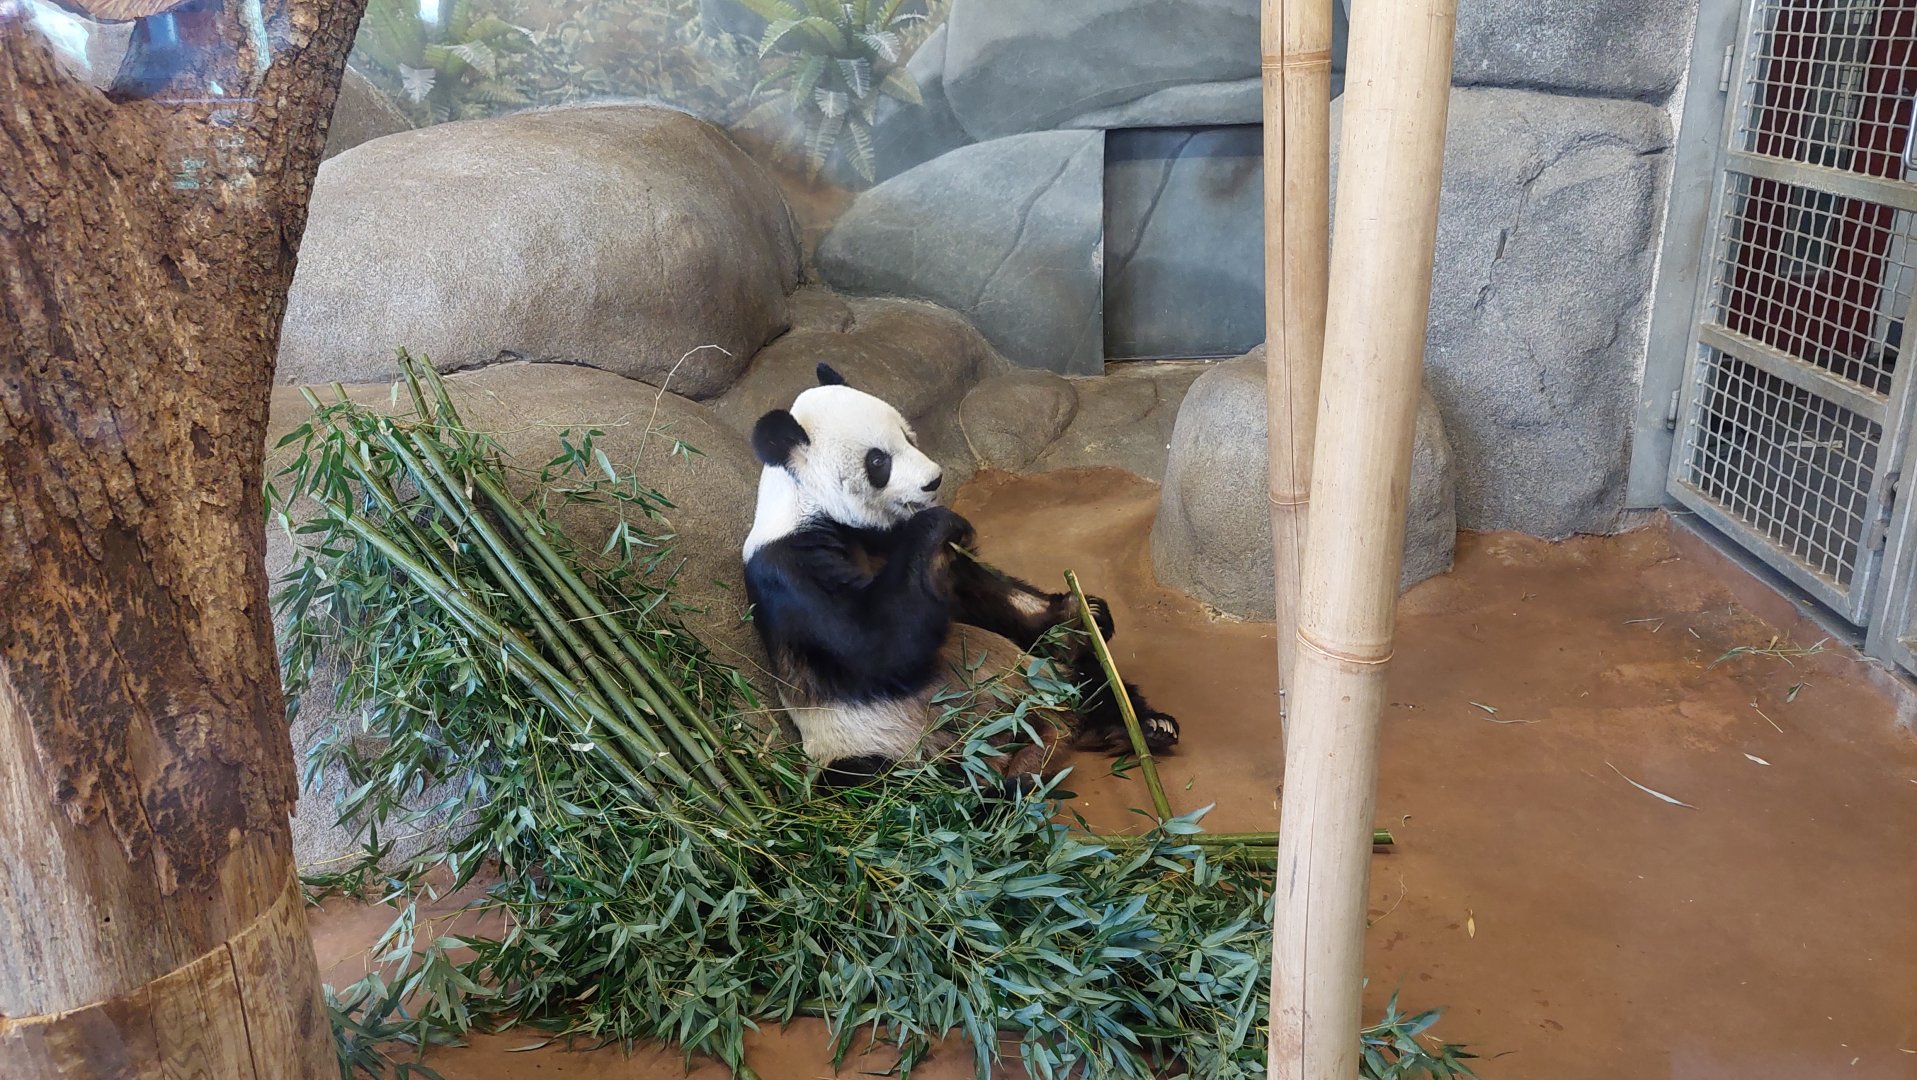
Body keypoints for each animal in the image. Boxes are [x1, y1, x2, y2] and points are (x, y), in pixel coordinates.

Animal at [741, 362, 1179, 789]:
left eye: (908, 435)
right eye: (878, 461)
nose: (933, 480)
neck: (823, 512)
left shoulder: (909, 552)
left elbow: (985, 600)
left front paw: (1083, 610)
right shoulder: (790, 569)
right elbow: (873, 644)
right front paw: (939, 521)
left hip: (1045, 676)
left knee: (1089, 675)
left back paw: (1141, 726)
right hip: (876, 746)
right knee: (876, 784)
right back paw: (1002, 788)